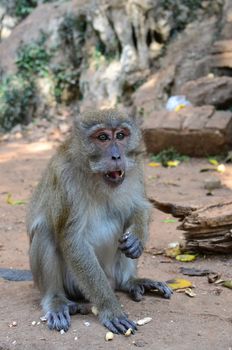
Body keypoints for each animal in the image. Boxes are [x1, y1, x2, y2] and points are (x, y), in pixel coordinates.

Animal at [27, 108, 172, 334]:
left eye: (120, 135)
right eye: (102, 138)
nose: (117, 156)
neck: (94, 175)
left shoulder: (136, 167)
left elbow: (139, 206)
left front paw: (137, 239)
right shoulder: (65, 179)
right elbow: (73, 240)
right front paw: (110, 309)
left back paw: (129, 281)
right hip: (74, 284)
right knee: (45, 231)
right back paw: (56, 300)